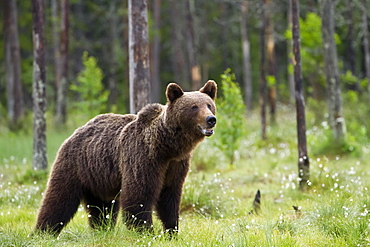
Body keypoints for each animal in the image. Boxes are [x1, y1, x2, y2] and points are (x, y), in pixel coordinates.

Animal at [34, 79, 217, 235]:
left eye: (209, 105)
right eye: (194, 107)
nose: (211, 119)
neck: (167, 147)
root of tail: (75, 132)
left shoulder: (176, 165)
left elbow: (170, 198)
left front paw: (171, 231)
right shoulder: (143, 158)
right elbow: (139, 195)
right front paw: (146, 231)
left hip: (100, 178)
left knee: (102, 207)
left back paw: (102, 229)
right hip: (75, 165)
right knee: (59, 199)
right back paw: (43, 231)